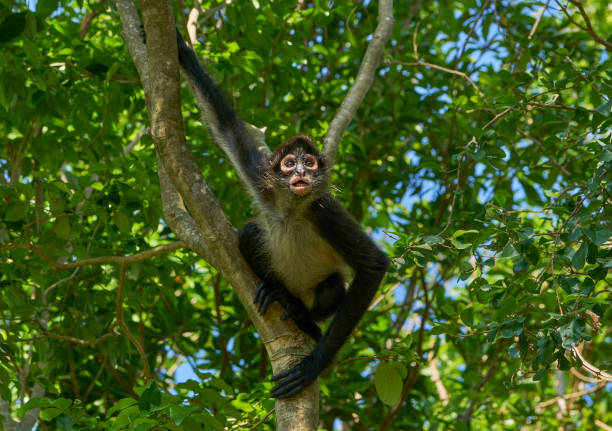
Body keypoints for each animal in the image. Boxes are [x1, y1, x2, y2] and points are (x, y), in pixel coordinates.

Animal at [175, 30, 390, 400]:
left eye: (311, 163)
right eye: (290, 163)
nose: (301, 172)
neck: (291, 209)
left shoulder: (324, 211)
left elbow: (374, 265)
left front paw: (313, 365)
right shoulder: (264, 184)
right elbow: (225, 125)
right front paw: (178, 47)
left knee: (332, 285)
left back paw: (303, 317)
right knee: (249, 234)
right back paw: (277, 292)